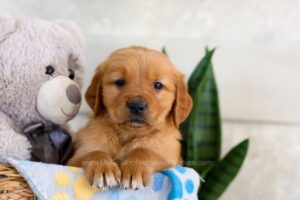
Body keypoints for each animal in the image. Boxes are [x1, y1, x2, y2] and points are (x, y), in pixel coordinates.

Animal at [67, 46, 192, 190]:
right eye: (120, 82)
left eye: (158, 85)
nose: (137, 105)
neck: (129, 133)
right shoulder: (73, 160)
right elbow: (93, 152)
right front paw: (103, 169)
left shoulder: (172, 160)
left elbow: (144, 150)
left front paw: (134, 170)